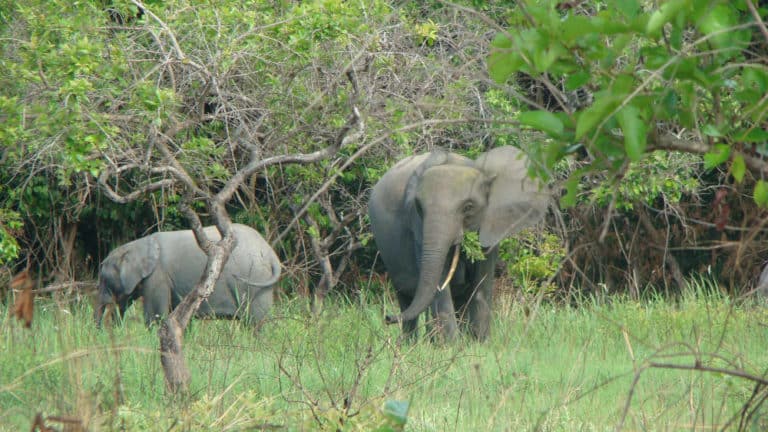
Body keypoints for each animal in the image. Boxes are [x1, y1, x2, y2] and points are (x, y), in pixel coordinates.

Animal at [95, 223, 282, 328]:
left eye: (103, 279)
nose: (100, 332)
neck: (137, 244)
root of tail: (271, 254)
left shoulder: (158, 276)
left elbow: (155, 316)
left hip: (254, 279)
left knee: (255, 322)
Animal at [368, 147, 548, 342]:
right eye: (419, 207)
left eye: (468, 207)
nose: (387, 317)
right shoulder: (418, 228)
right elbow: (440, 288)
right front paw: (452, 346)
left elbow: (482, 283)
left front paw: (480, 344)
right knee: (407, 299)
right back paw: (411, 344)